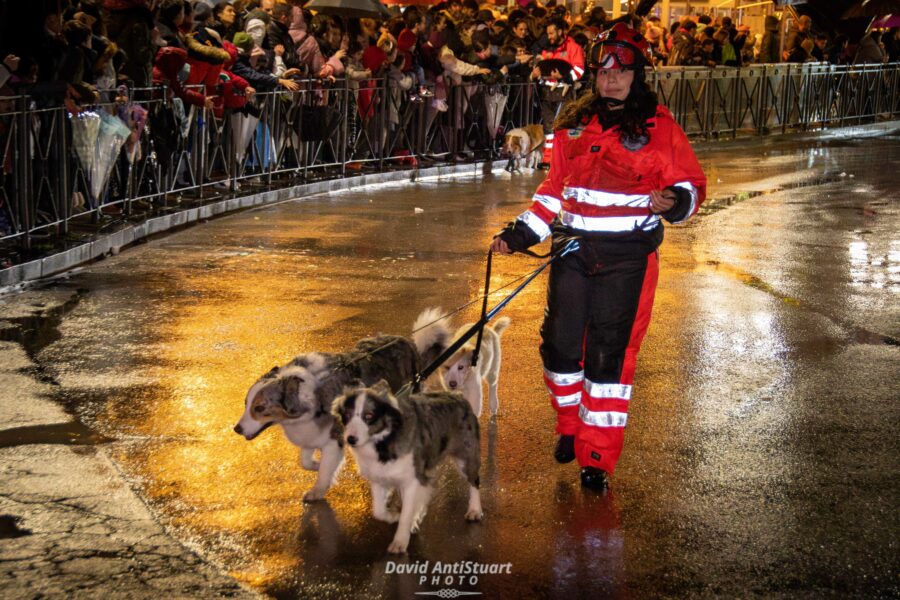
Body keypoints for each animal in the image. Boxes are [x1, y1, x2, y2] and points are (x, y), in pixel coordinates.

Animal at [234, 312, 448, 504]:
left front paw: (318, 490)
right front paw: (315, 464)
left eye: (259, 408)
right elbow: (305, 461)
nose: (237, 429)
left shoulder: (333, 440)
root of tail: (409, 344)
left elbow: (324, 471)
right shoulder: (310, 433)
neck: (311, 391)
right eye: (246, 403)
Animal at [332, 382, 486, 556]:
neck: (383, 441)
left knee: (474, 481)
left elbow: (406, 513)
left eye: (369, 416)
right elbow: (378, 511)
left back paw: (475, 510)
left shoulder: (412, 480)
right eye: (347, 414)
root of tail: (458, 396)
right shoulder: (379, 478)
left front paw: (400, 541)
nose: (351, 439)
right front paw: (393, 516)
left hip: (465, 455)